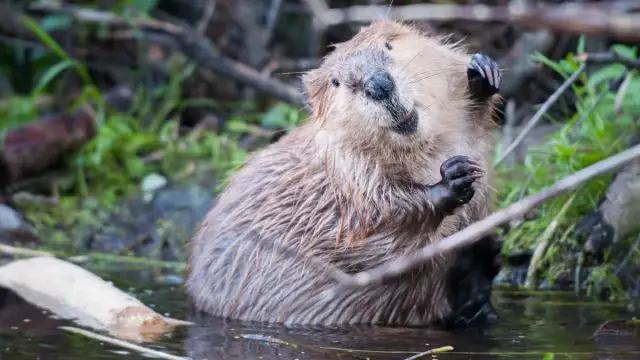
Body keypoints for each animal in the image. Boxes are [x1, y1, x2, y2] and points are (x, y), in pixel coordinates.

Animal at [185, 20, 504, 330]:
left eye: (388, 45)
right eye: (336, 82)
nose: (378, 85)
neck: (426, 150)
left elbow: (475, 123)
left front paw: (482, 73)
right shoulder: (348, 173)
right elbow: (377, 224)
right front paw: (453, 178)